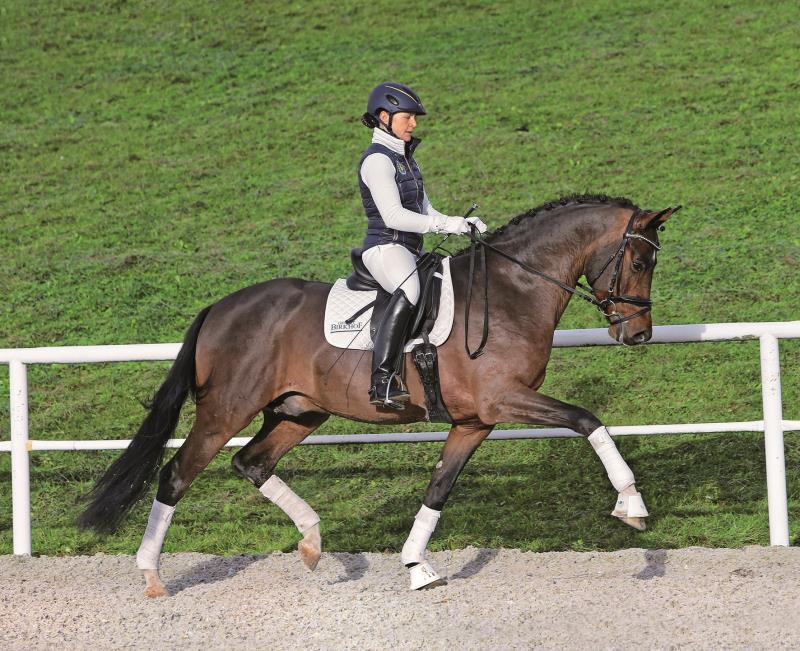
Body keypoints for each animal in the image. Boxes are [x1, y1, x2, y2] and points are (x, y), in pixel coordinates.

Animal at [79, 194, 679, 595]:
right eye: (640, 261)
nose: (638, 334)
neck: (513, 289)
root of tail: (220, 308)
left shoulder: (474, 421)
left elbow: (439, 487)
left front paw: (416, 565)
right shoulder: (501, 399)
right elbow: (586, 419)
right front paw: (631, 504)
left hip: (299, 412)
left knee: (252, 463)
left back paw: (313, 543)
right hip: (226, 410)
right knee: (176, 474)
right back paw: (152, 575)